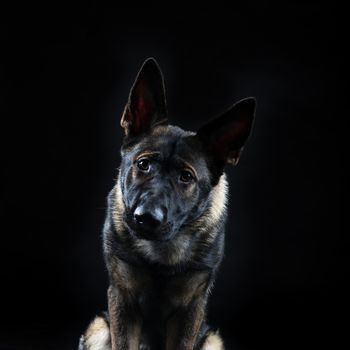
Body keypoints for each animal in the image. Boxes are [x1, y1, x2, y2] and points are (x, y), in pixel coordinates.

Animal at [78, 58, 256, 350]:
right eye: (143, 164)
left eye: (186, 177)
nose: (145, 218)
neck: (159, 255)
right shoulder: (123, 299)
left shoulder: (189, 309)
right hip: (98, 328)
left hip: (212, 340)